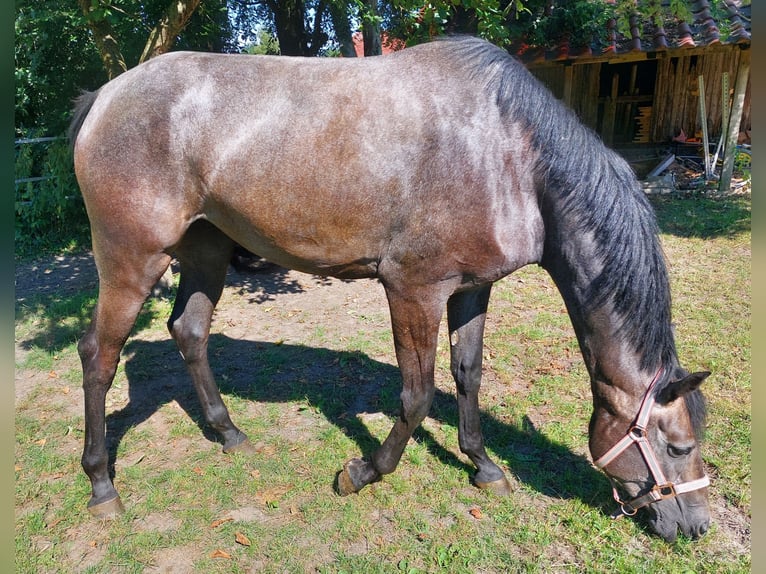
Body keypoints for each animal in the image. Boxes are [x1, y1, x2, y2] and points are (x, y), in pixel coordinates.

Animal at [69, 37, 712, 544]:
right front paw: (361, 472)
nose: (696, 526)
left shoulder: (471, 290)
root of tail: (103, 97)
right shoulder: (412, 290)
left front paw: (483, 466)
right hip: (133, 262)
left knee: (190, 332)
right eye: (679, 447)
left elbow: (467, 375)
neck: (511, 156)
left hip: (205, 254)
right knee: (98, 354)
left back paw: (230, 434)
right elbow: (416, 395)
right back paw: (102, 484)